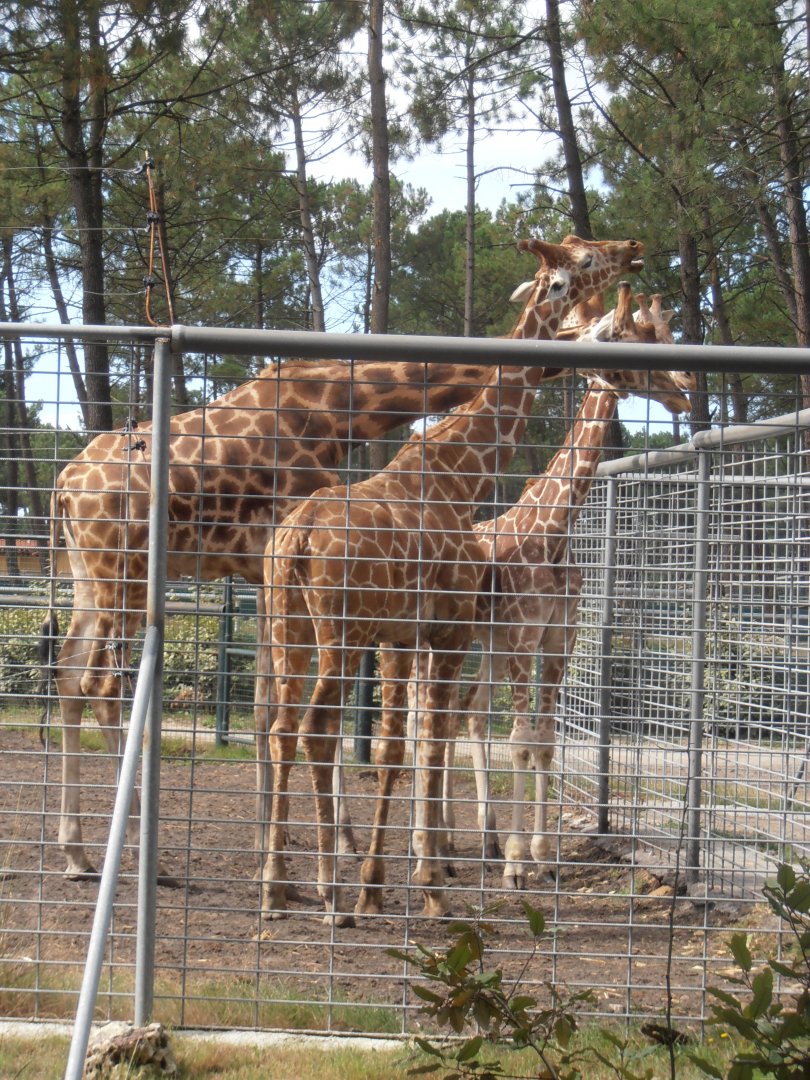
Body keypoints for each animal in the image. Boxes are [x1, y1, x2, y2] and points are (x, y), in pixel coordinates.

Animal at [45, 354, 505, 882]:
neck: (335, 413)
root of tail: (63, 486)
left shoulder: (263, 575)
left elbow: (267, 705)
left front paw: (275, 839)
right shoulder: (281, 567)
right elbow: (293, 710)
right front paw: (319, 843)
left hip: (87, 577)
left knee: (67, 673)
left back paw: (76, 853)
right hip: (125, 577)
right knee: (99, 683)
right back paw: (144, 853)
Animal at [260, 234, 646, 926]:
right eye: (582, 263)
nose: (630, 248)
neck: (457, 474)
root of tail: (297, 539)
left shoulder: (405, 635)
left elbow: (402, 744)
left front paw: (388, 880)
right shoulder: (449, 630)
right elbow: (436, 740)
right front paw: (428, 886)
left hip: (292, 630)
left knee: (282, 728)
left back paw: (277, 887)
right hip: (341, 631)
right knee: (317, 728)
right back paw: (332, 894)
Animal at [439, 285, 693, 889]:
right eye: (629, 340)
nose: (684, 391)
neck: (554, 530)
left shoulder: (556, 637)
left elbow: (546, 738)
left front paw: (538, 852)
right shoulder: (523, 636)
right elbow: (521, 740)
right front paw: (517, 864)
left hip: (486, 642)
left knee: (467, 711)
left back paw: (476, 841)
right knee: (426, 718)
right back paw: (439, 847)